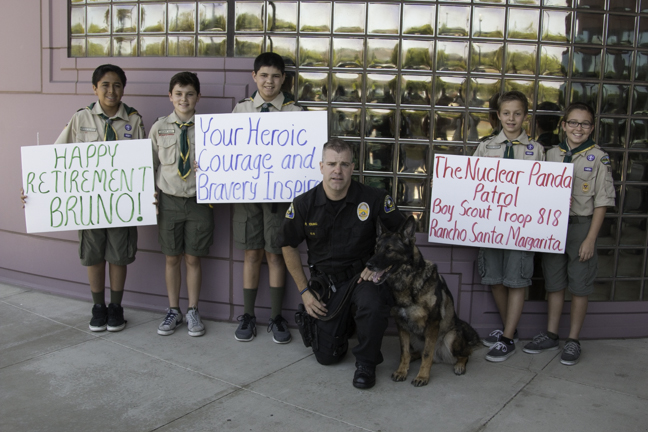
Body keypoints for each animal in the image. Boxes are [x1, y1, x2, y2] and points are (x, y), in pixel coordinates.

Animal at [368, 218, 478, 386]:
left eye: (389, 250)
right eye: (376, 248)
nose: (368, 265)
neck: (409, 282)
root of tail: (439, 357)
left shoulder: (432, 324)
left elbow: (427, 354)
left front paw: (422, 376)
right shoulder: (401, 324)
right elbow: (404, 351)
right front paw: (402, 370)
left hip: (450, 337)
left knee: (465, 353)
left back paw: (459, 365)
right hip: (414, 335)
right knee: (416, 353)